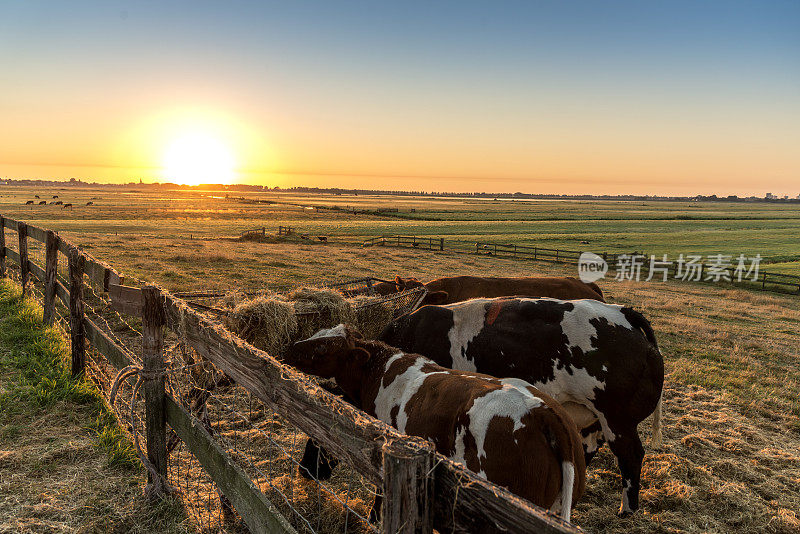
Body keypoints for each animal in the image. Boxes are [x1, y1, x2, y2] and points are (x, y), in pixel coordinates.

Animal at [378, 300, 664, 516]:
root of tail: (623, 313)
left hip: (617, 418)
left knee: (631, 455)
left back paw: (627, 509)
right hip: (592, 419)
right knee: (589, 449)